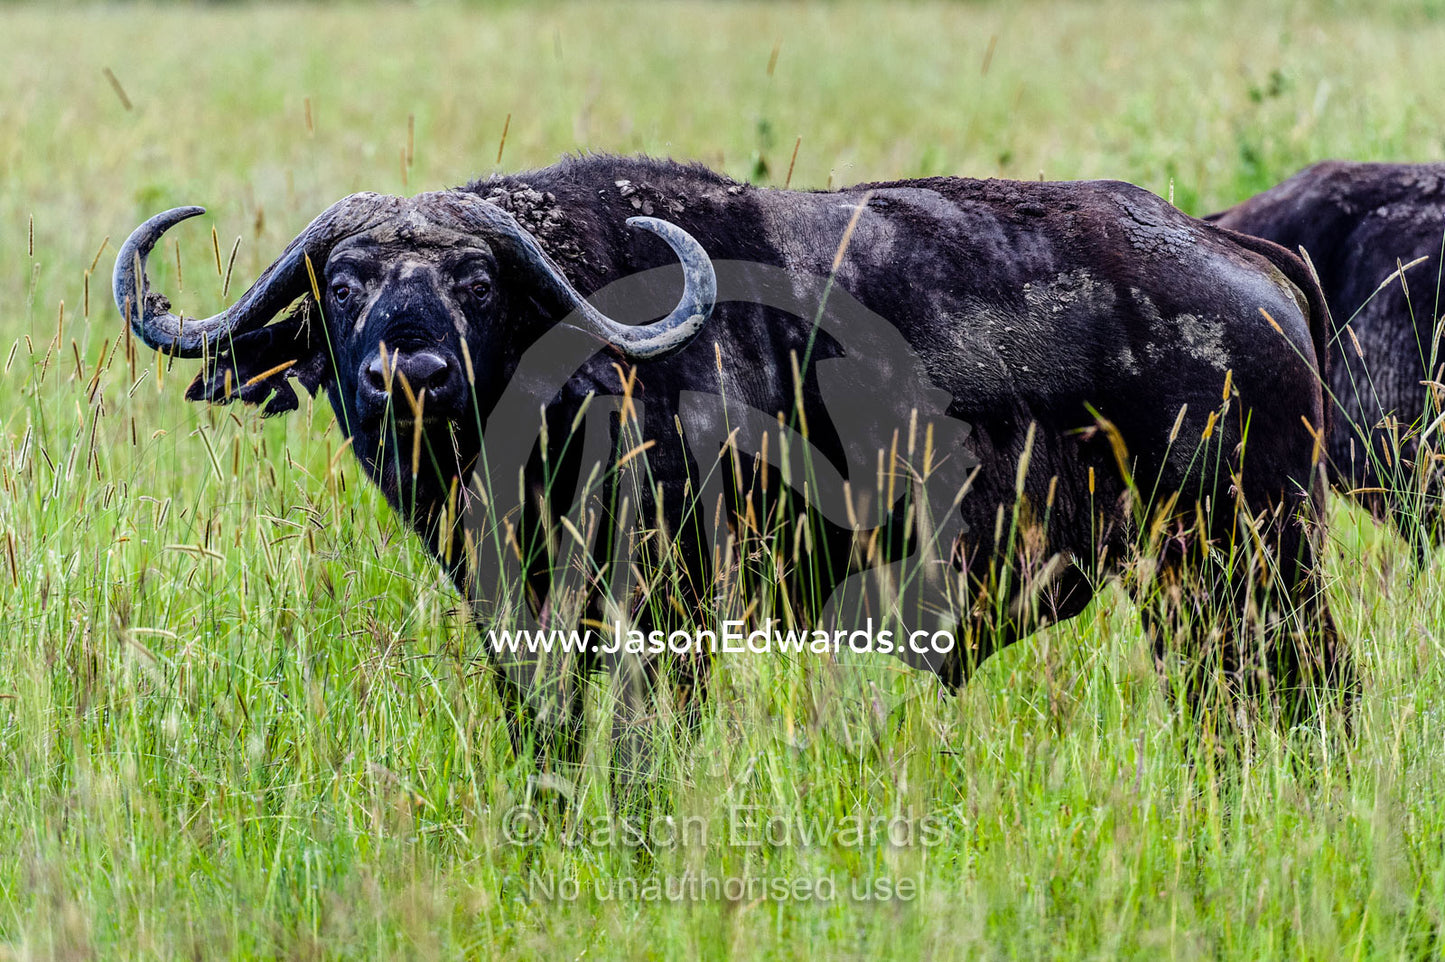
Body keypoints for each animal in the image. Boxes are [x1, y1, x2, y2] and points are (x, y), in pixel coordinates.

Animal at [115, 156, 1353, 788]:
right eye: (344, 283)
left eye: (474, 281)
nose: (405, 371)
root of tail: (1240, 255)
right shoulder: (521, 619)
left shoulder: (668, 615)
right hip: (1189, 586)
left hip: (1259, 561)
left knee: (1309, 694)